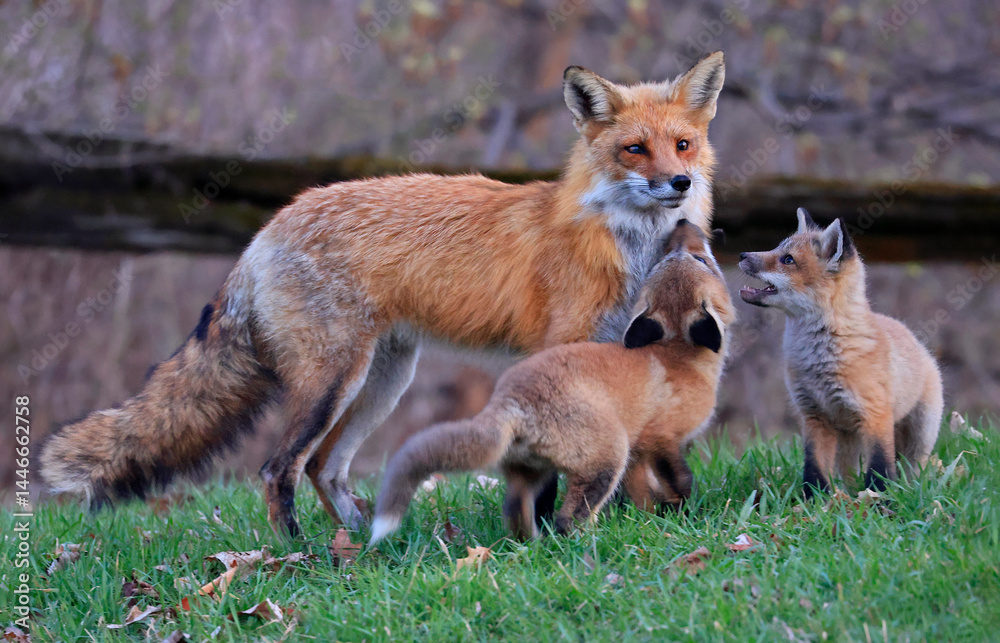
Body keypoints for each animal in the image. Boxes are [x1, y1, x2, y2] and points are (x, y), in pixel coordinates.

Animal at [369, 220, 735, 544]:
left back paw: (530, 547)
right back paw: (590, 544)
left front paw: (653, 515)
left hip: (532, 470)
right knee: (568, 519)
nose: (683, 223)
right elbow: (681, 481)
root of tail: (509, 400)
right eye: (702, 260)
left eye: (669, 258)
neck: (678, 357)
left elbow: (642, 491)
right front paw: (683, 512)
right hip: (607, 458)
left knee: (515, 511)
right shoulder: (660, 439)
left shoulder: (638, 453)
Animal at [738, 209, 943, 496]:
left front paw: (880, 499)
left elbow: (879, 467)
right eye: (777, 248)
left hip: (921, 433)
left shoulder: (876, 415)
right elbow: (813, 466)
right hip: (848, 438)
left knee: (913, 467)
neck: (819, 359)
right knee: (849, 474)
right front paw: (814, 499)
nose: (742, 255)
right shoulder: (814, 416)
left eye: (787, 259)